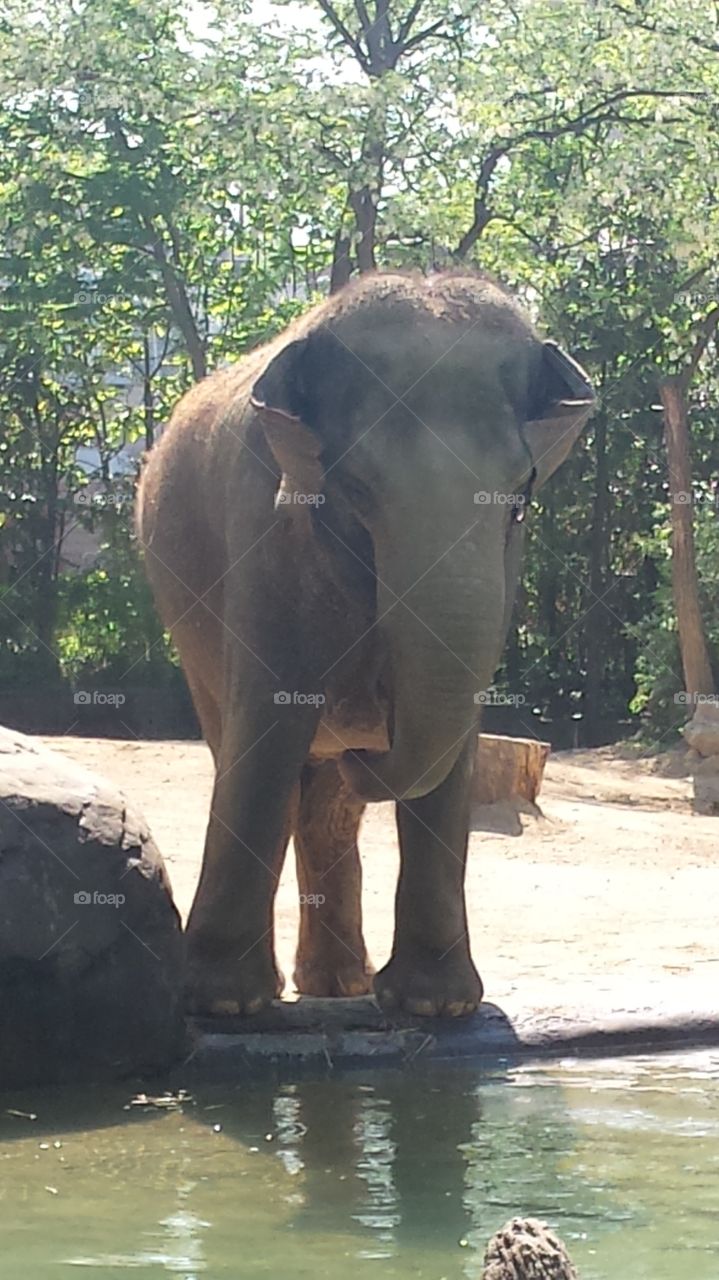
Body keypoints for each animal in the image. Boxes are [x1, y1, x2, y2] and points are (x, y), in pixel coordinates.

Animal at [135, 270, 593, 1018]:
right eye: (352, 489)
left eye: (519, 500)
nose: (365, 746)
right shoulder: (266, 528)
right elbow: (270, 726)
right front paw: (223, 1004)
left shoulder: (504, 568)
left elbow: (452, 743)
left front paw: (435, 1007)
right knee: (254, 755)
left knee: (328, 804)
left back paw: (339, 986)